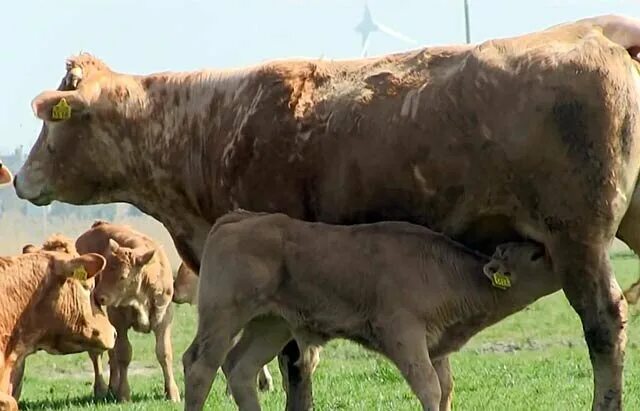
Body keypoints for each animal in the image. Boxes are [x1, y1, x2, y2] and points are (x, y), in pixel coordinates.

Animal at [76, 220, 179, 404]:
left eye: (123, 276)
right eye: (103, 271)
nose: (98, 296)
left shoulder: (164, 319)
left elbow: (164, 353)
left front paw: (172, 393)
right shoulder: (119, 320)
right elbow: (124, 354)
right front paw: (124, 394)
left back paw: (112, 387)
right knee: (97, 353)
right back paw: (101, 389)